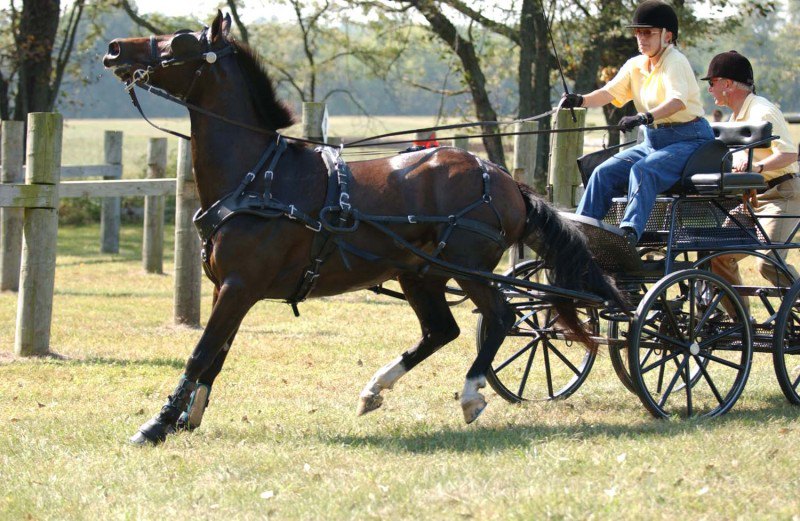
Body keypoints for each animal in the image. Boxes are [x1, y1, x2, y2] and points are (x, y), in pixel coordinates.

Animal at [101, 11, 624, 442]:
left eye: (182, 40)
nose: (115, 50)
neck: (258, 176)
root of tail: (503, 178)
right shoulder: (227, 288)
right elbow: (217, 352)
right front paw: (187, 417)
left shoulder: (239, 285)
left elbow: (201, 350)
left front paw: (157, 425)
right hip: (419, 274)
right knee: (442, 330)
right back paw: (375, 389)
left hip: (468, 269)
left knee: (502, 317)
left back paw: (471, 394)